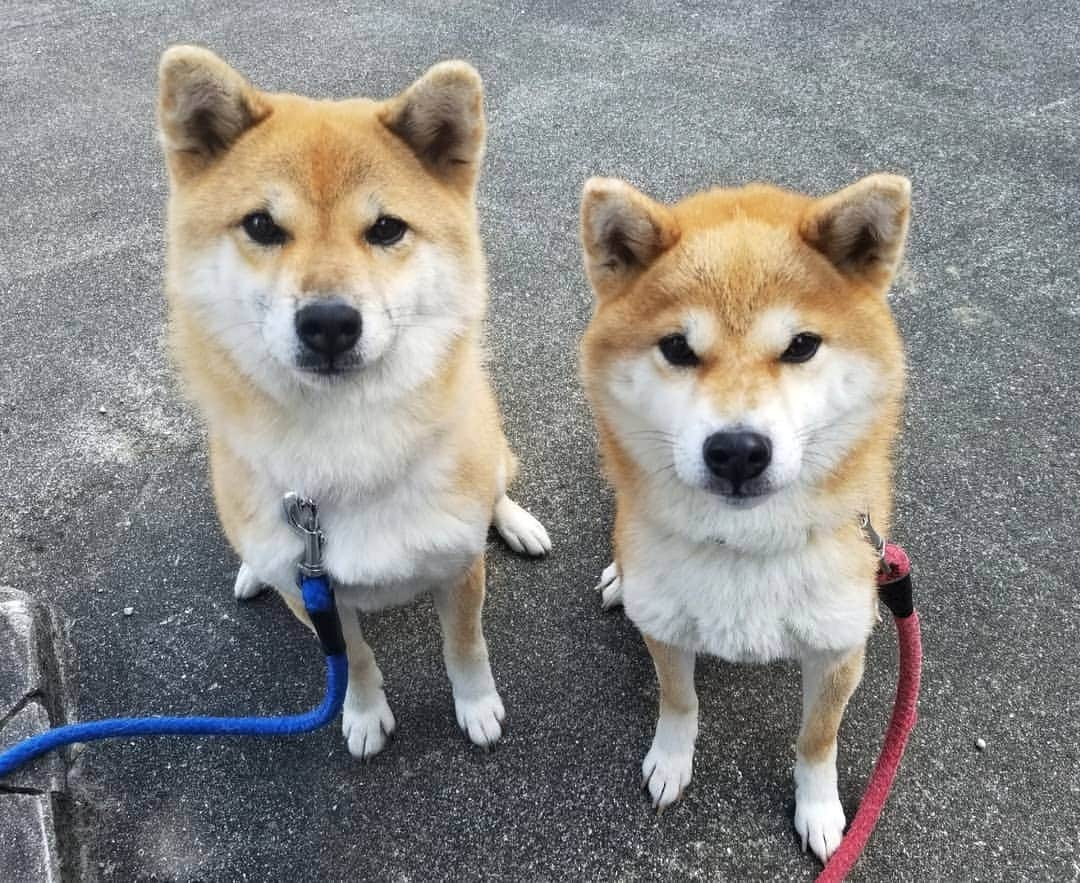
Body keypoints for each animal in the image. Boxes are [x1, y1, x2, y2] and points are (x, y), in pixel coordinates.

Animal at [156, 42, 552, 755]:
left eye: (387, 228)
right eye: (262, 225)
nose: (330, 323)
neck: (346, 441)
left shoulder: (458, 567)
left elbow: (465, 646)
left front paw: (477, 706)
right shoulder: (316, 594)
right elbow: (356, 662)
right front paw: (365, 715)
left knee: (499, 485)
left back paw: (515, 521)